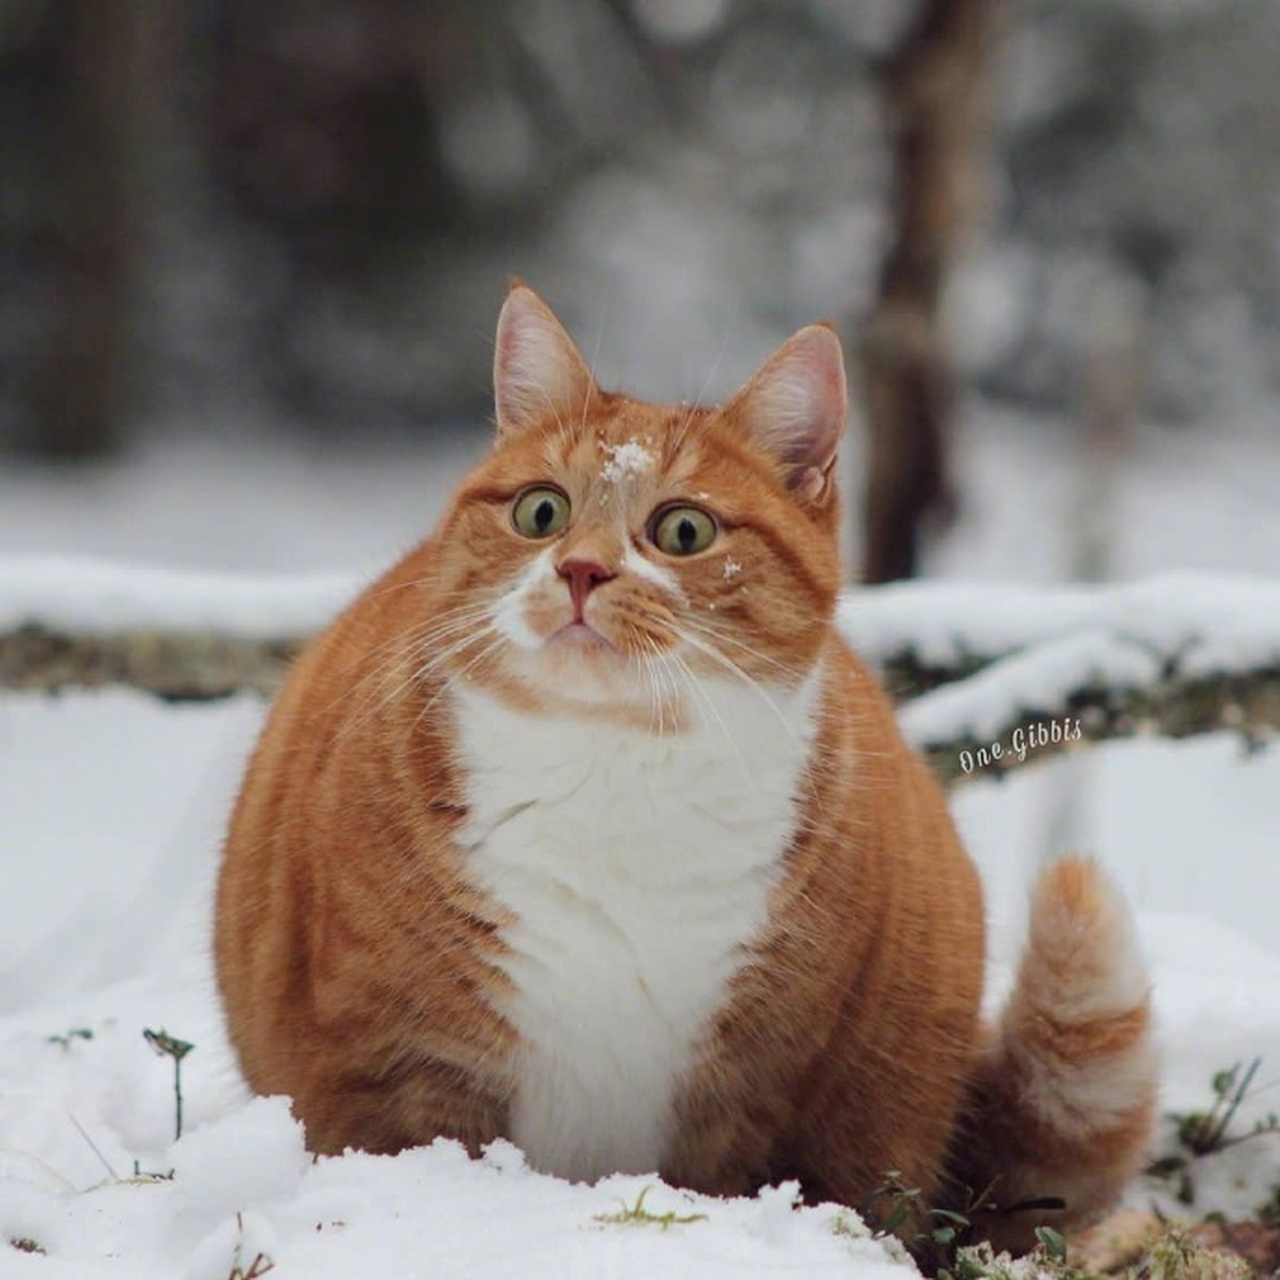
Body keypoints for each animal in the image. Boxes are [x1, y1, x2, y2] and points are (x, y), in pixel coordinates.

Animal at [220, 285, 1162, 1254]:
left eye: (683, 530)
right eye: (541, 513)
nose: (581, 569)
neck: (611, 773)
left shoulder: (758, 1085)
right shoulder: (396, 1065)